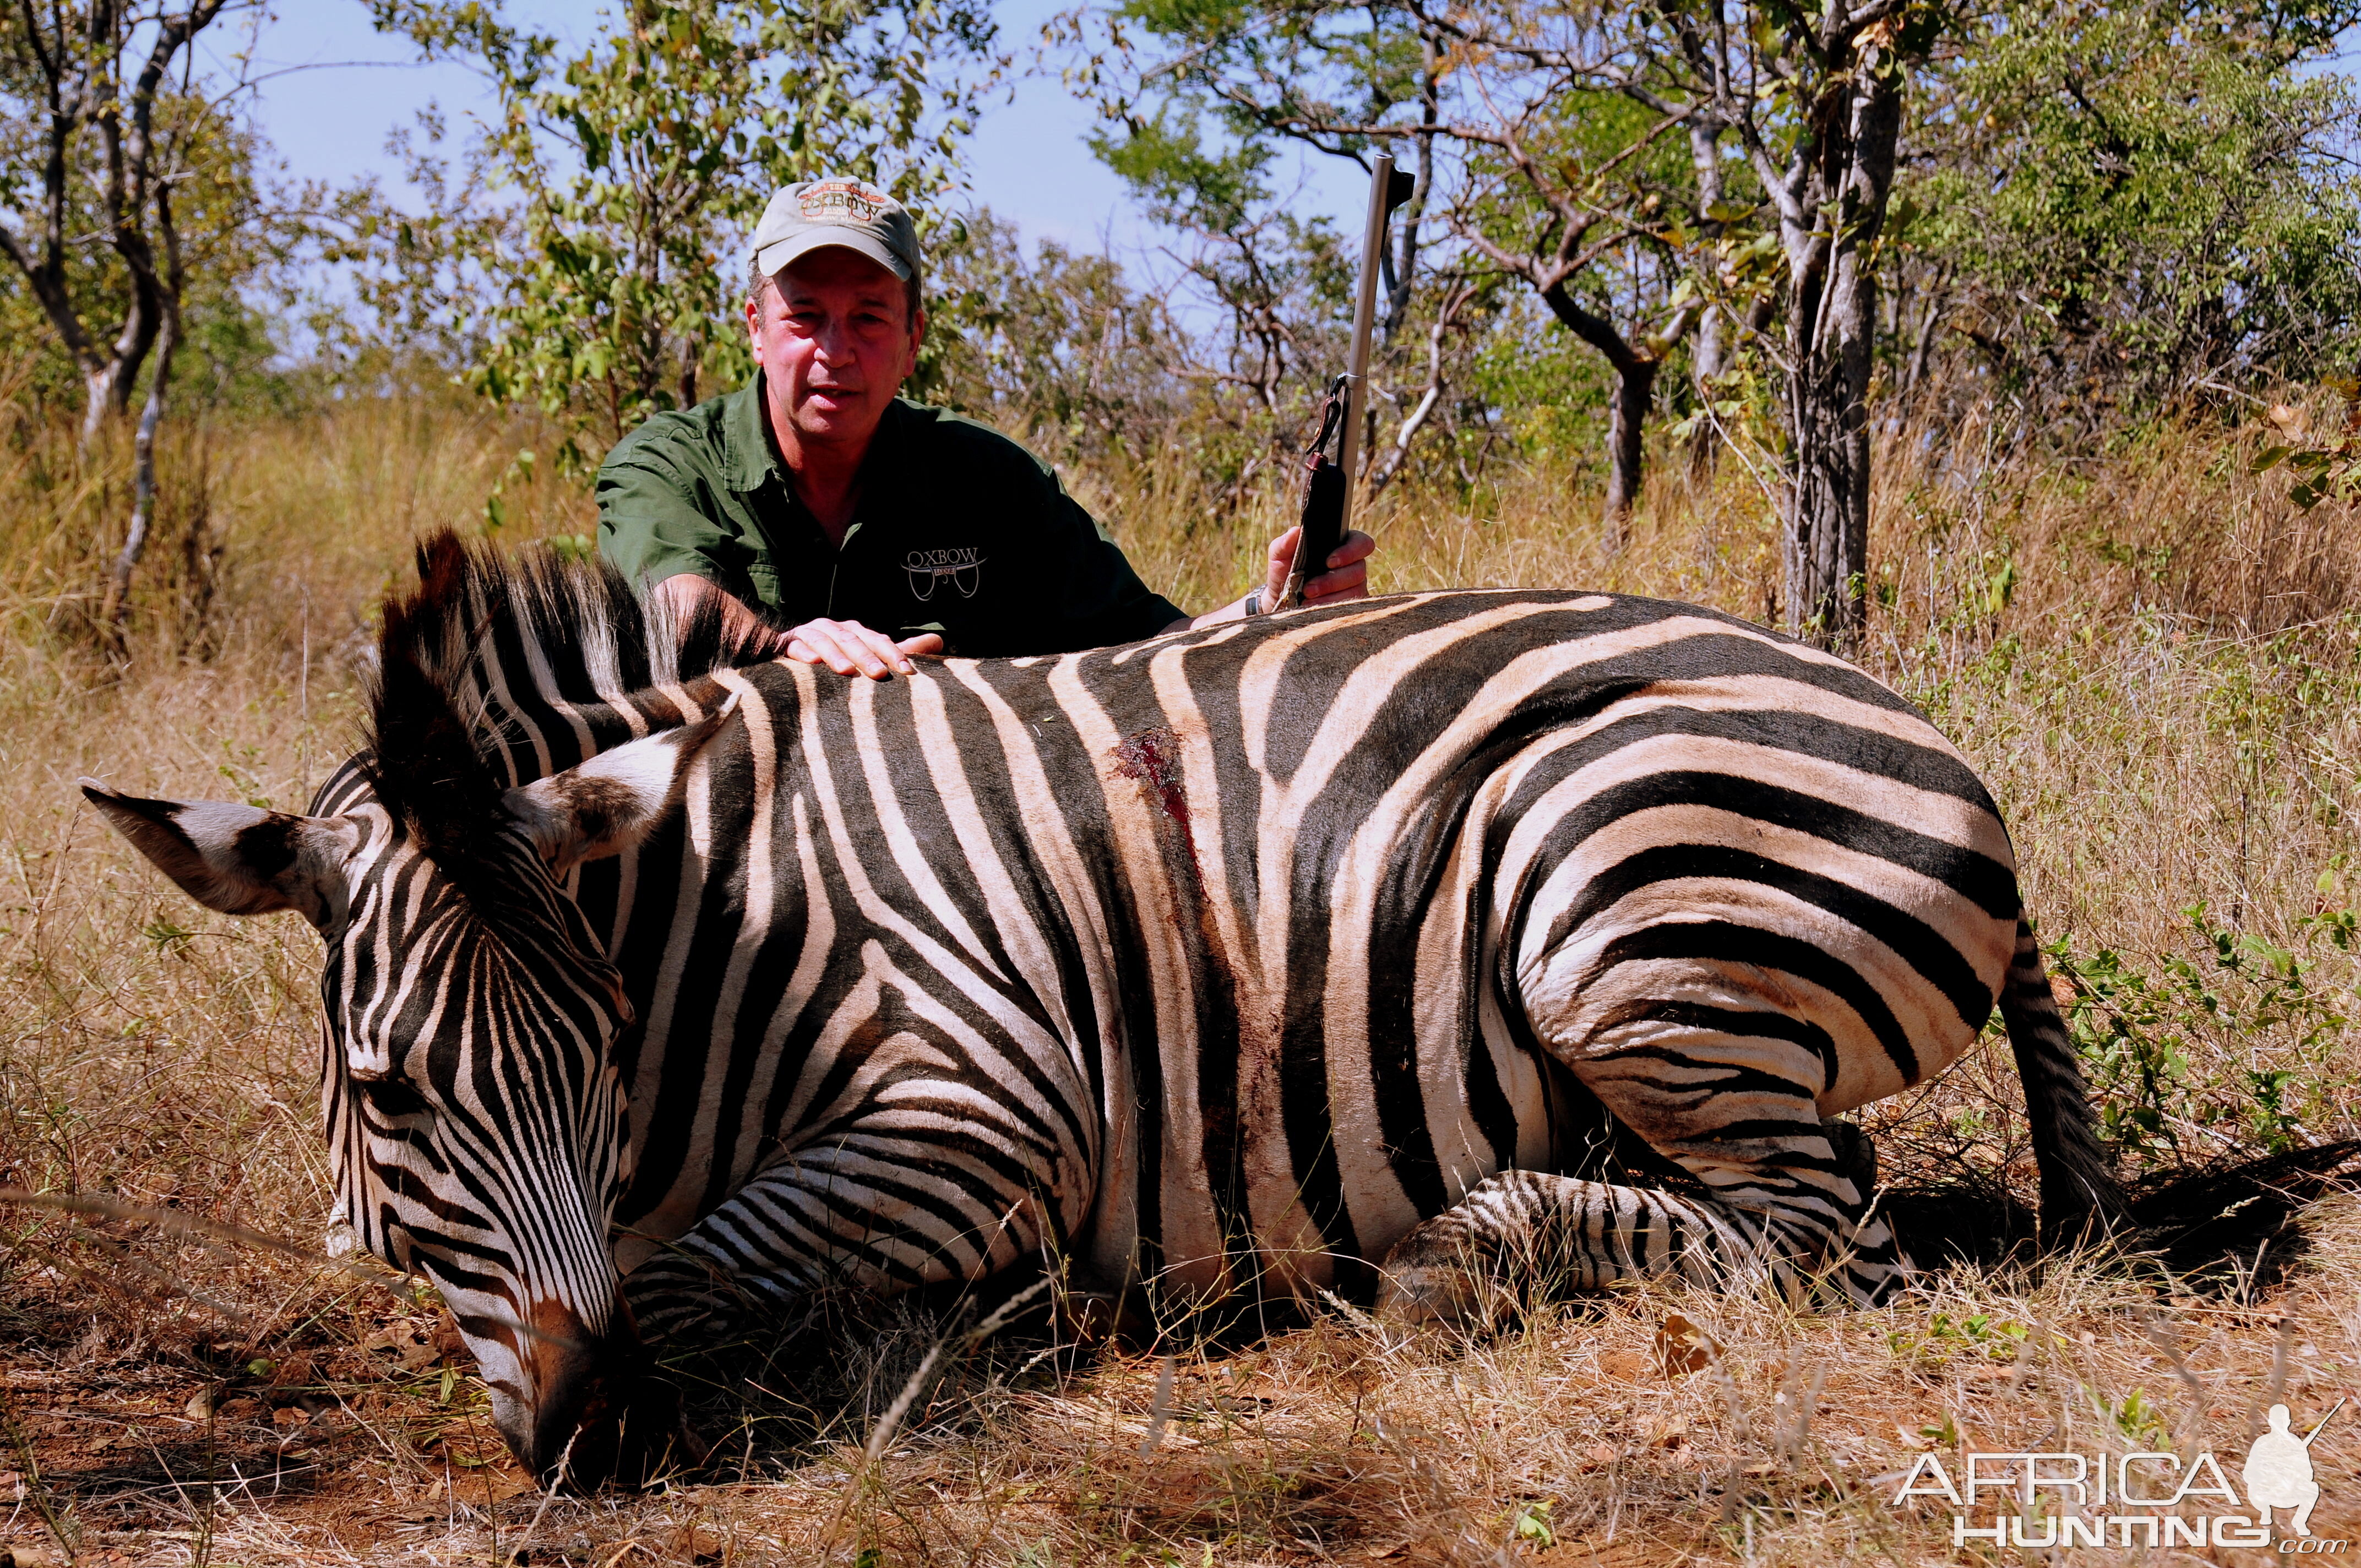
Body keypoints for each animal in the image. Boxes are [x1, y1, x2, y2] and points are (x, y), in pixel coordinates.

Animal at [83, 533, 2134, 1473]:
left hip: (1607, 896)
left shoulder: (986, 1107)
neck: (711, 921)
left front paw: (968, 1322)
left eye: (597, 1064)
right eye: (391, 1091)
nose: (601, 1442)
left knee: (1822, 1216)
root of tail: (1919, 730)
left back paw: (1462, 1256)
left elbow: (692, 1275)